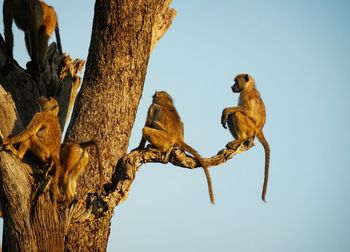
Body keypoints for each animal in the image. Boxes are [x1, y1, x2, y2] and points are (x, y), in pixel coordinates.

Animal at [221, 73, 270, 203]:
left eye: (236, 81)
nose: (232, 87)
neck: (249, 87)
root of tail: (259, 130)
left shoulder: (245, 94)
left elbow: (246, 110)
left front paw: (225, 111)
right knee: (233, 115)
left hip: (251, 129)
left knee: (236, 114)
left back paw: (241, 139)